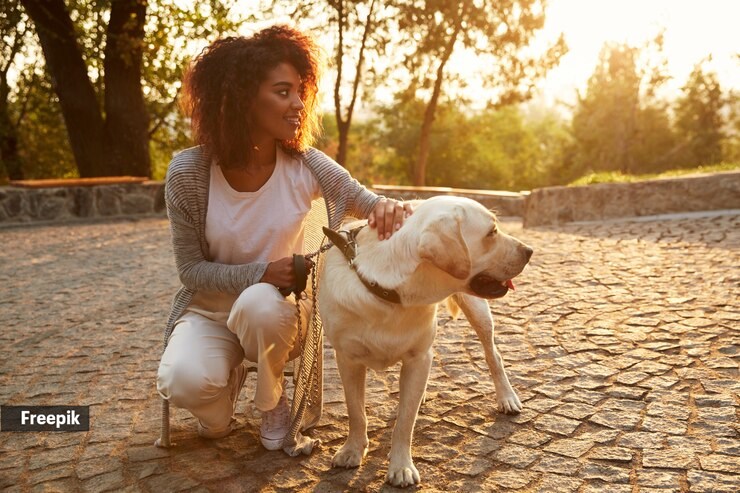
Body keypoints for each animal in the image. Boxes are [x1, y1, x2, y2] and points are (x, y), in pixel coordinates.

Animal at [320, 195, 532, 484]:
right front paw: (352, 450)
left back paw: (507, 397)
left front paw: (401, 466)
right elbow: (356, 411)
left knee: (493, 355)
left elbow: (405, 421)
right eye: (492, 232)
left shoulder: (418, 357)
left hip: (478, 312)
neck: (391, 292)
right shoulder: (347, 359)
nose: (529, 250)